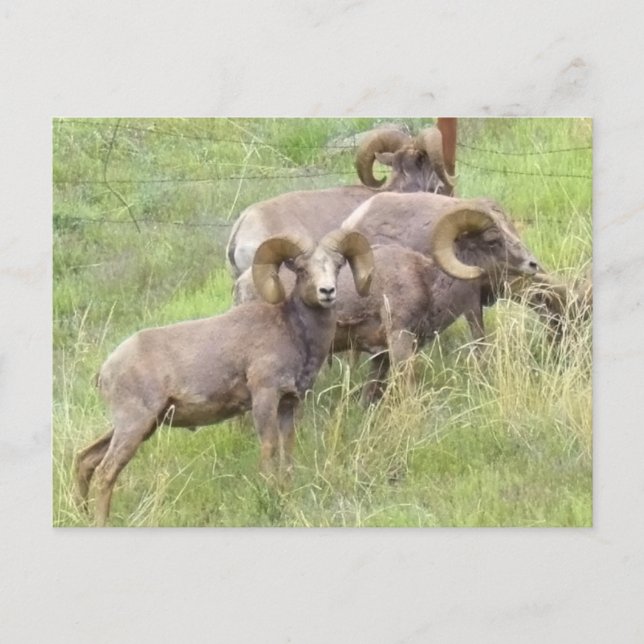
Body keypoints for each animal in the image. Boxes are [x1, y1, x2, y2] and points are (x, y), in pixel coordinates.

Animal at [74, 228, 374, 526]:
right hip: (134, 424)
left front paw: (286, 492)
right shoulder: (264, 397)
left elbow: (287, 448)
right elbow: (269, 447)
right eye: (301, 269)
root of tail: (106, 369)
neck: (293, 331)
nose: (327, 291)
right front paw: (269, 496)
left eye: (337, 266)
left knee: (85, 459)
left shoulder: (289, 403)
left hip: (140, 426)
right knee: (106, 471)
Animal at [234, 202, 541, 403]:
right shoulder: (400, 339)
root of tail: (241, 285)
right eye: (492, 240)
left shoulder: (380, 355)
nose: (533, 264)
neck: (427, 280)